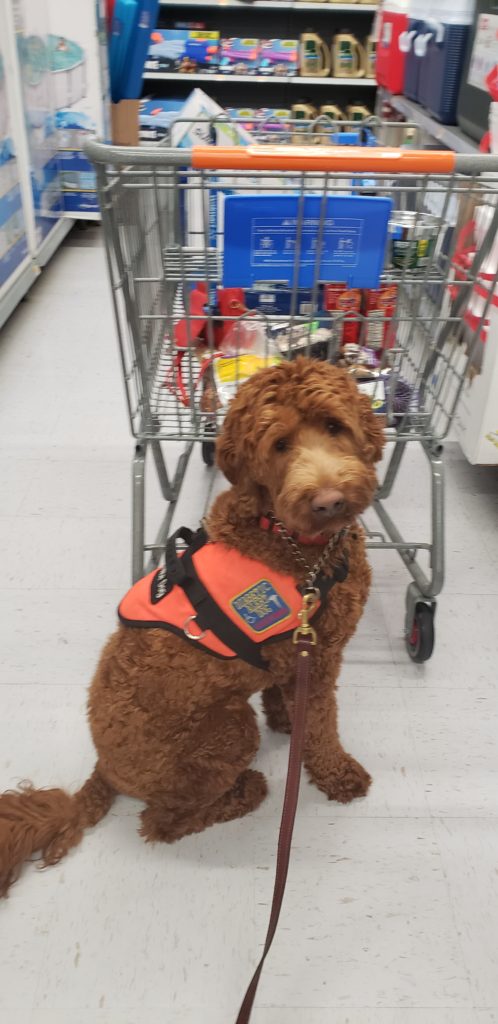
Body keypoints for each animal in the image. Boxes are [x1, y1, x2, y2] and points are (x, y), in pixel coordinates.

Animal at [0, 360, 385, 897]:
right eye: (279, 445)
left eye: (334, 425)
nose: (329, 502)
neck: (282, 535)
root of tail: (103, 769)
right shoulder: (318, 655)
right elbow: (323, 725)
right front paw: (337, 773)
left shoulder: (291, 656)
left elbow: (283, 695)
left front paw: (286, 720)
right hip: (226, 731)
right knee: (160, 823)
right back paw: (245, 792)